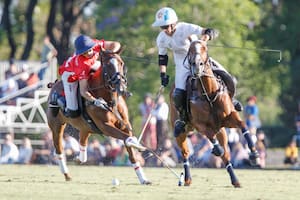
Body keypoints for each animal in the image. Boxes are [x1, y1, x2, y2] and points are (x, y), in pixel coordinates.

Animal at [46, 50, 151, 184]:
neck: (110, 100)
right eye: (107, 65)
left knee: (82, 142)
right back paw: (66, 174)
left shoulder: (125, 124)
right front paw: (138, 145)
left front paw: (143, 179)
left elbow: (130, 148)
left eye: (121, 63)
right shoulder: (105, 127)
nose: (121, 87)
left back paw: (79, 159)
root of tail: (54, 84)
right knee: (58, 149)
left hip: (85, 128)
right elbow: (127, 139)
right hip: (56, 126)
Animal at [171, 39, 260, 188]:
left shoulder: (229, 118)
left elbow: (243, 125)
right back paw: (187, 179)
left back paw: (235, 180)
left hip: (221, 131)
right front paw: (216, 149)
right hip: (181, 129)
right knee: (185, 153)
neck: (209, 93)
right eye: (190, 50)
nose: (197, 66)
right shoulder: (200, 125)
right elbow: (211, 137)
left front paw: (254, 154)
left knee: (226, 156)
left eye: (204, 48)